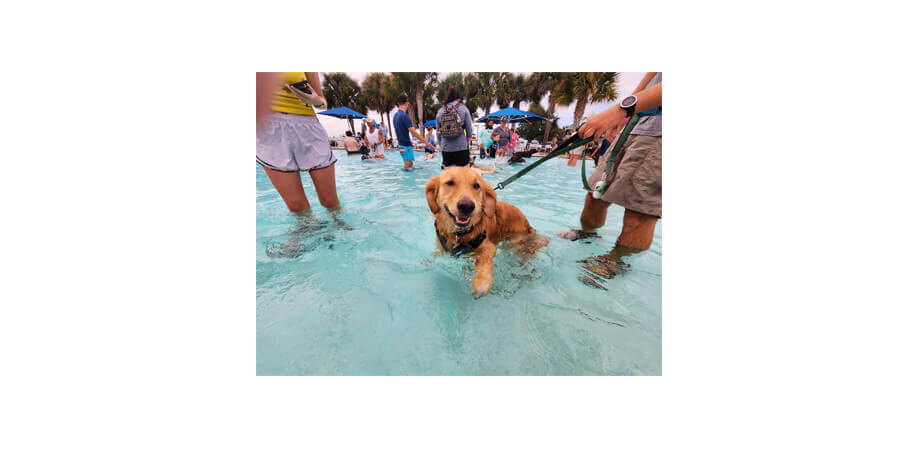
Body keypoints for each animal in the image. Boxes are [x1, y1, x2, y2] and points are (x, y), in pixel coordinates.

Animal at [428, 167, 548, 298]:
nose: (467, 206)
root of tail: (526, 221)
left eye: (476, 185)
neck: (459, 234)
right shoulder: (441, 247)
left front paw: (481, 283)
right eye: (450, 183)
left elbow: (483, 263)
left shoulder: (489, 247)